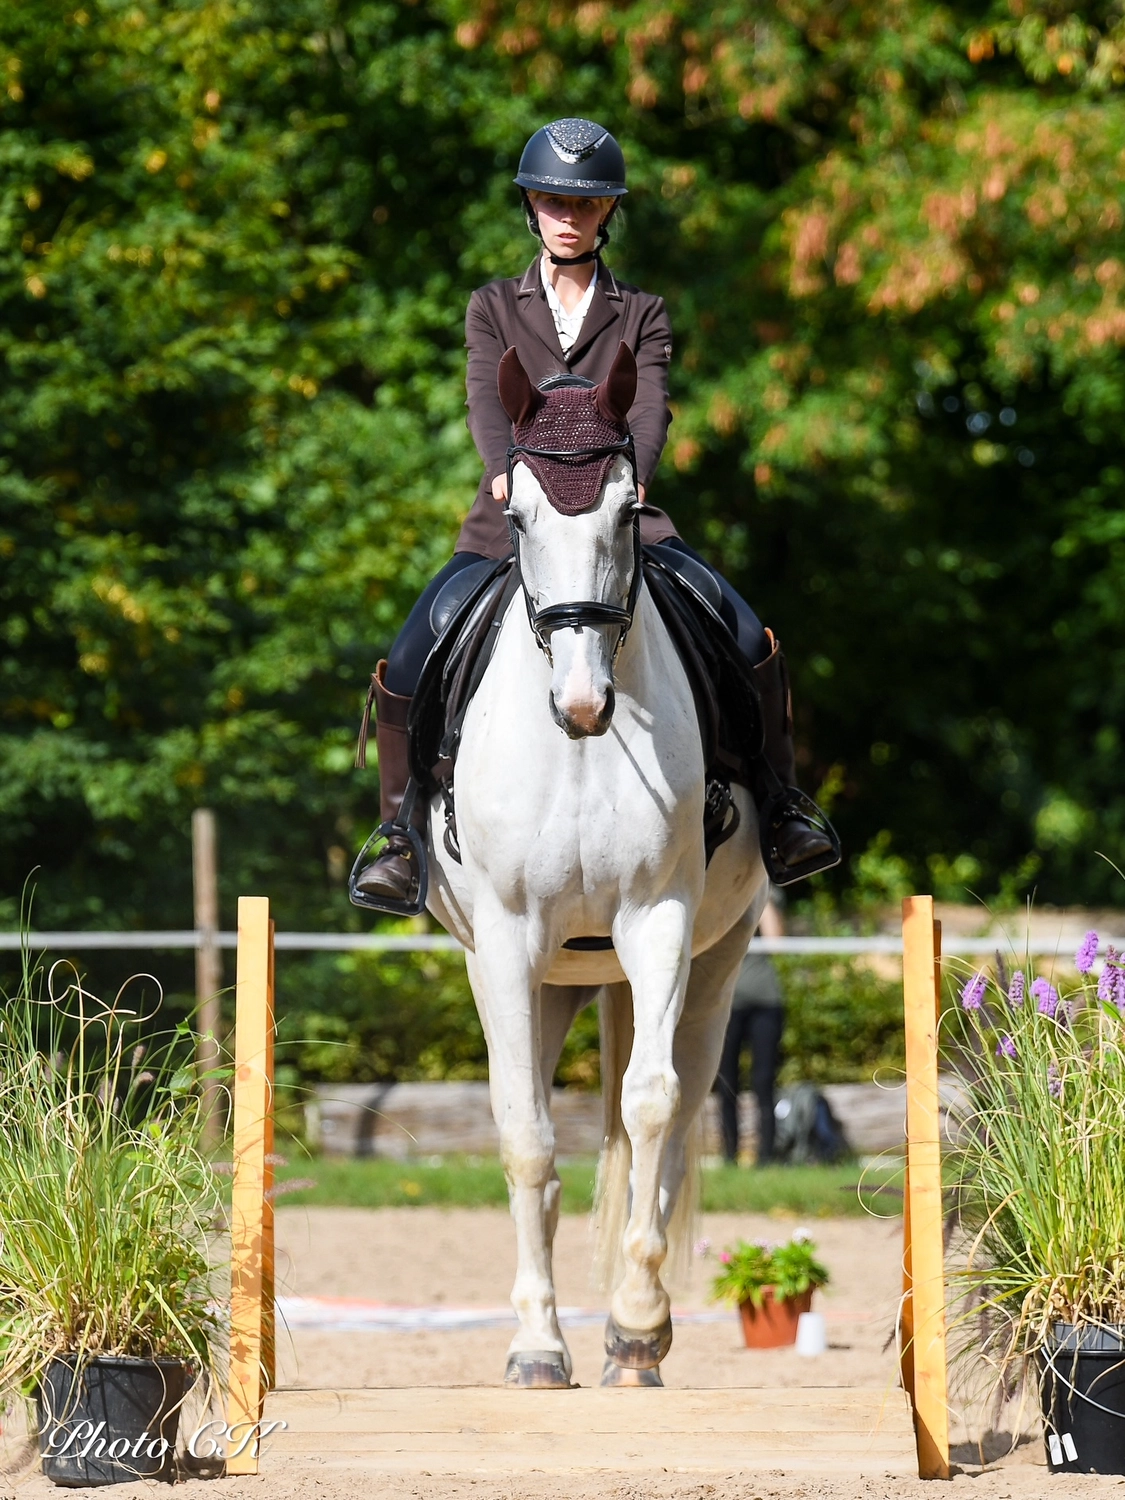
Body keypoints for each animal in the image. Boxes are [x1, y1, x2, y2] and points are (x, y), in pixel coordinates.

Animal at [426, 343, 768, 1388]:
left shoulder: (658, 922)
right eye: (519, 518)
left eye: (625, 510)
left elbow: (651, 1109)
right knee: (528, 1123)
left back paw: (632, 1334)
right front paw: (539, 1346)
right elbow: (527, 1137)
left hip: (712, 963)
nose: (582, 705)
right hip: (541, 981)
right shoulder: (503, 943)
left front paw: (636, 1327)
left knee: (679, 1115)